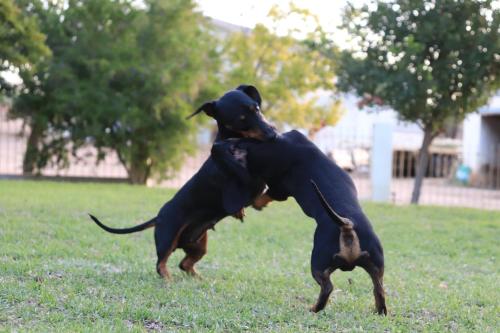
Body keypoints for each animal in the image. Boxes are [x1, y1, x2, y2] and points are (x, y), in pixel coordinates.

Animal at [88, 84, 276, 278]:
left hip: (199, 244)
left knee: (184, 264)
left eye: (257, 109)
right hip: (168, 238)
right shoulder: (239, 191)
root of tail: (158, 217)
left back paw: (199, 279)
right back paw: (169, 280)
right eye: (241, 119)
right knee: (161, 264)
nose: (273, 134)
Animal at [210, 130, 386, 314]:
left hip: (318, 263)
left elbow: (262, 197)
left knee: (327, 288)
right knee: (379, 289)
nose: (214, 145)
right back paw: (380, 311)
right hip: (376, 266)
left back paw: (313, 309)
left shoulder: (279, 189)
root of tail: (346, 224)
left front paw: (252, 206)